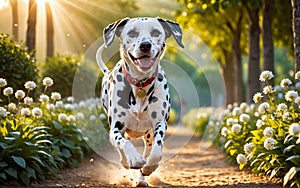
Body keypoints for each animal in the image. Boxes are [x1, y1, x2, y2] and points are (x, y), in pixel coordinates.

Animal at [97, 17, 184, 187]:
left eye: (156, 32)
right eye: (132, 33)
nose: (145, 45)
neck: (140, 84)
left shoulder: (160, 123)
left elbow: (156, 151)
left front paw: (149, 167)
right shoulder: (116, 128)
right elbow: (123, 143)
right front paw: (134, 158)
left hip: (148, 135)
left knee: (149, 149)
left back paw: (141, 178)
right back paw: (127, 161)